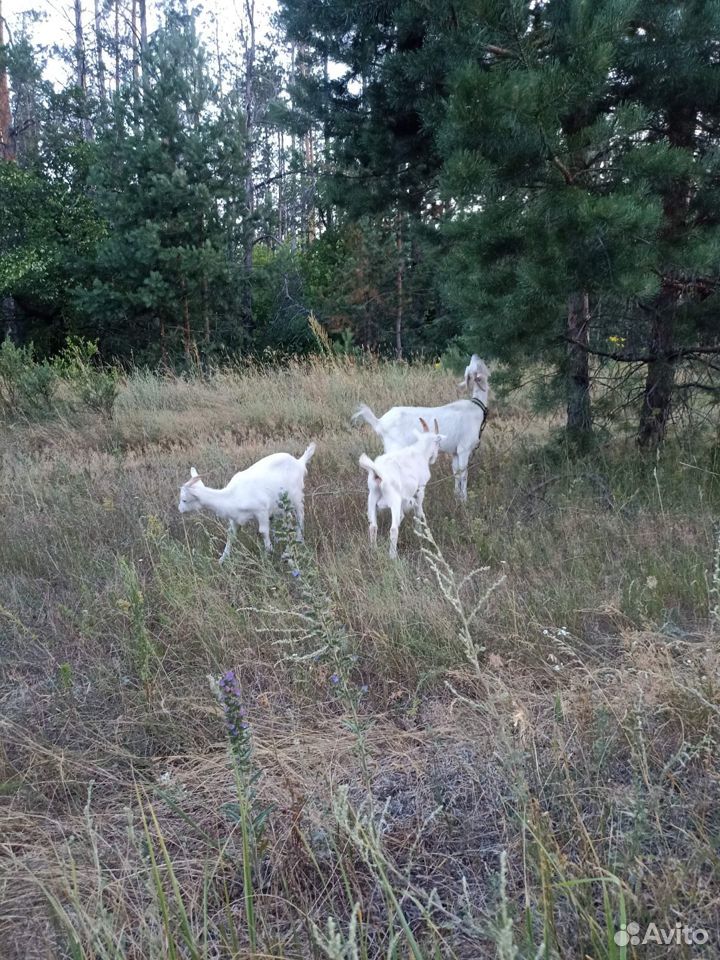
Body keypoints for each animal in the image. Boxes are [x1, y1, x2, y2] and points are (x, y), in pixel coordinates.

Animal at [177, 442, 316, 564]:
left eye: (184, 499)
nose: (180, 509)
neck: (232, 495)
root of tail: (299, 462)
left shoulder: (261, 510)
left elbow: (263, 531)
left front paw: (268, 553)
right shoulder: (235, 518)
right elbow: (231, 535)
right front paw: (222, 559)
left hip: (296, 495)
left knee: (300, 515)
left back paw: (297, 542)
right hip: (281, 505)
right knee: (288, 518)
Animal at [352, 354, 490, 502]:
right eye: (474, 365)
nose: (476, 355)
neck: (476, 407)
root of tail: (380, 422)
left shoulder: (455, 451)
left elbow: (456, 472)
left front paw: (457, 496)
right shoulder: (464, 449)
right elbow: (464, 474)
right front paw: (464, 500)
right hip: (395, 448)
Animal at [360, 416, 444, 560]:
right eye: (437, 442)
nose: (434, 458)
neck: (420, 452)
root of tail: (378, 472)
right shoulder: (420, 489)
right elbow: (418, 511)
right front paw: (420, 531)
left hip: (372, 496)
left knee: (373, 526)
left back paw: (373, 550)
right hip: (394, 499)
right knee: (393, 529)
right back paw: (393, 556)